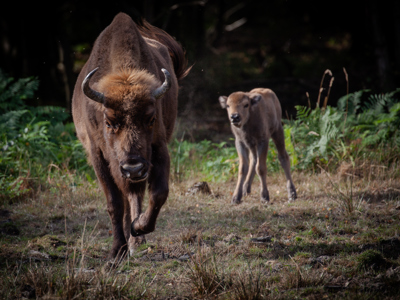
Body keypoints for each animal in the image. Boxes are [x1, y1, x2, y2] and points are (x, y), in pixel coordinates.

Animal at [72, 12, 191, 258]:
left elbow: (158, 193)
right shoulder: (98, 156)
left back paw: (136, 239)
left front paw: (138, 228)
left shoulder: (158, 148)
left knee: (135, 195)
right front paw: (117, 251)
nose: (134, 167)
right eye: (109, 122)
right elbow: (114, 203)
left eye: (151, 119)